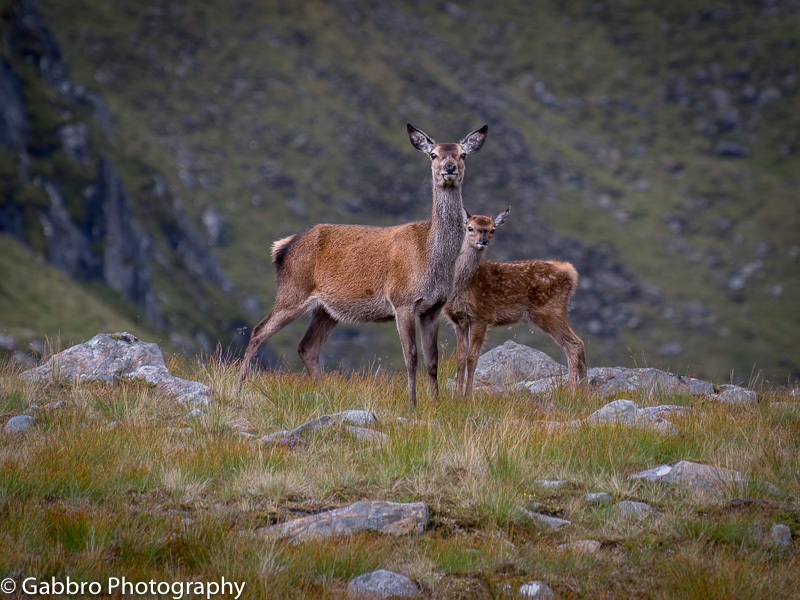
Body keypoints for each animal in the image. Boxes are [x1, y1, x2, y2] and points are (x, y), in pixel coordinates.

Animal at [236, 123, 488, 408]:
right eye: (433, 154)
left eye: (463, 154)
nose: (449, 167)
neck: (432, 258)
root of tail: (282, 247)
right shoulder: (402, 300)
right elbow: (411, 357)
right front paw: (412, 404)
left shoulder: (433, 308)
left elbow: (432, 359)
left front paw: (435, 404)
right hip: (293, 291)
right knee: (258, 331)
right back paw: (237, 389)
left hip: (326, 309)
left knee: (307, 347)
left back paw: (324, 395)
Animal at [444, 209, 588, 397]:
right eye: (470, 227)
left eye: (492, 229)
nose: (483, 241)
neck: (463, 285)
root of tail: (570, 272)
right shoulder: (459, 321)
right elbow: (460, 359)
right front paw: (456, 396)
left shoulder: (481, 316)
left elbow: (472, 358)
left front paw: (468, 396)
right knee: (578, 343)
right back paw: (586, 391)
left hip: (551, 311)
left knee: (574, 344)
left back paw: (571, 390)